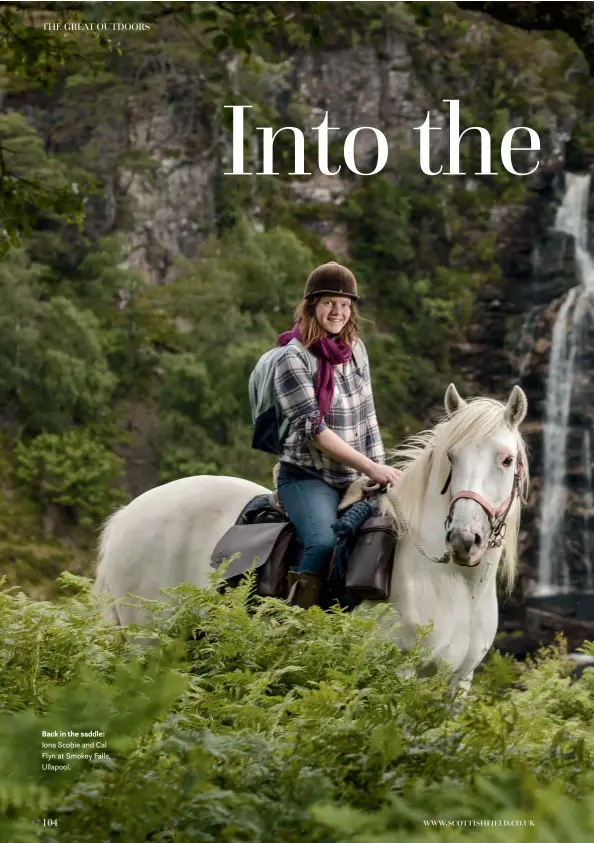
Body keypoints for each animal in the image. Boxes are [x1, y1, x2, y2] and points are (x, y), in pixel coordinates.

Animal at [92, 382, 528, 692]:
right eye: (451, 458)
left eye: (506, 460)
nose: (464, 538)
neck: (453, 581)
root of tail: (127, 515)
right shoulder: (399, 673)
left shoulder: (458, 685)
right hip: (147, 642)